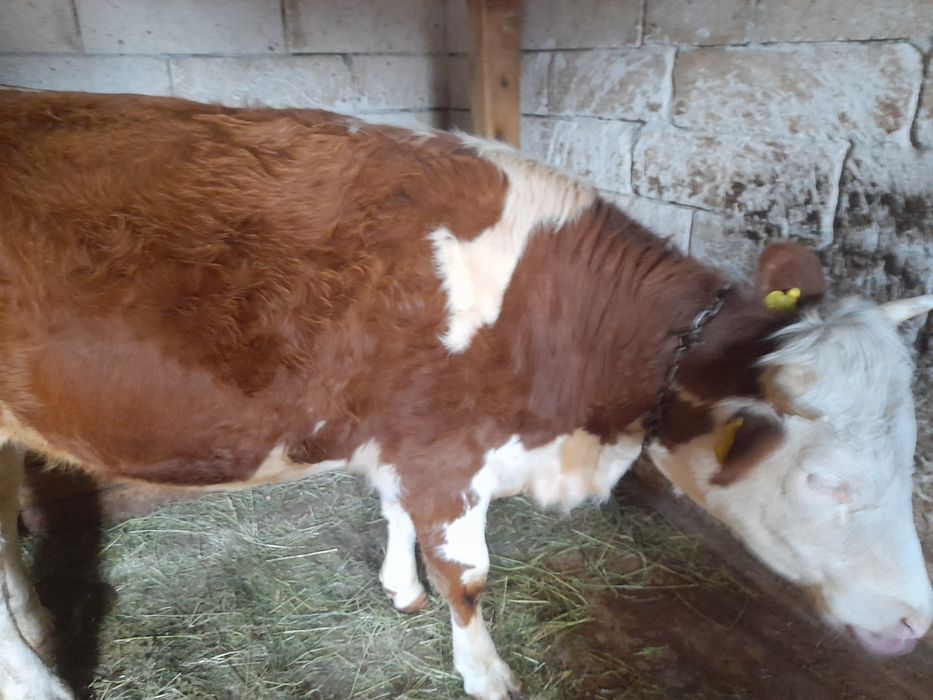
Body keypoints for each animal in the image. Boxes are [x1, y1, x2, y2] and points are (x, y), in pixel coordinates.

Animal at [0, 89, 931, 700]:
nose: (915, 625)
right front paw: (484, 672)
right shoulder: (447, 452)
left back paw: (38, 622)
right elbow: (468, 574)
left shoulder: (409, 439)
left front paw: (398, 586)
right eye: (826, 481)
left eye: (906, 453)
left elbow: (393, 513)